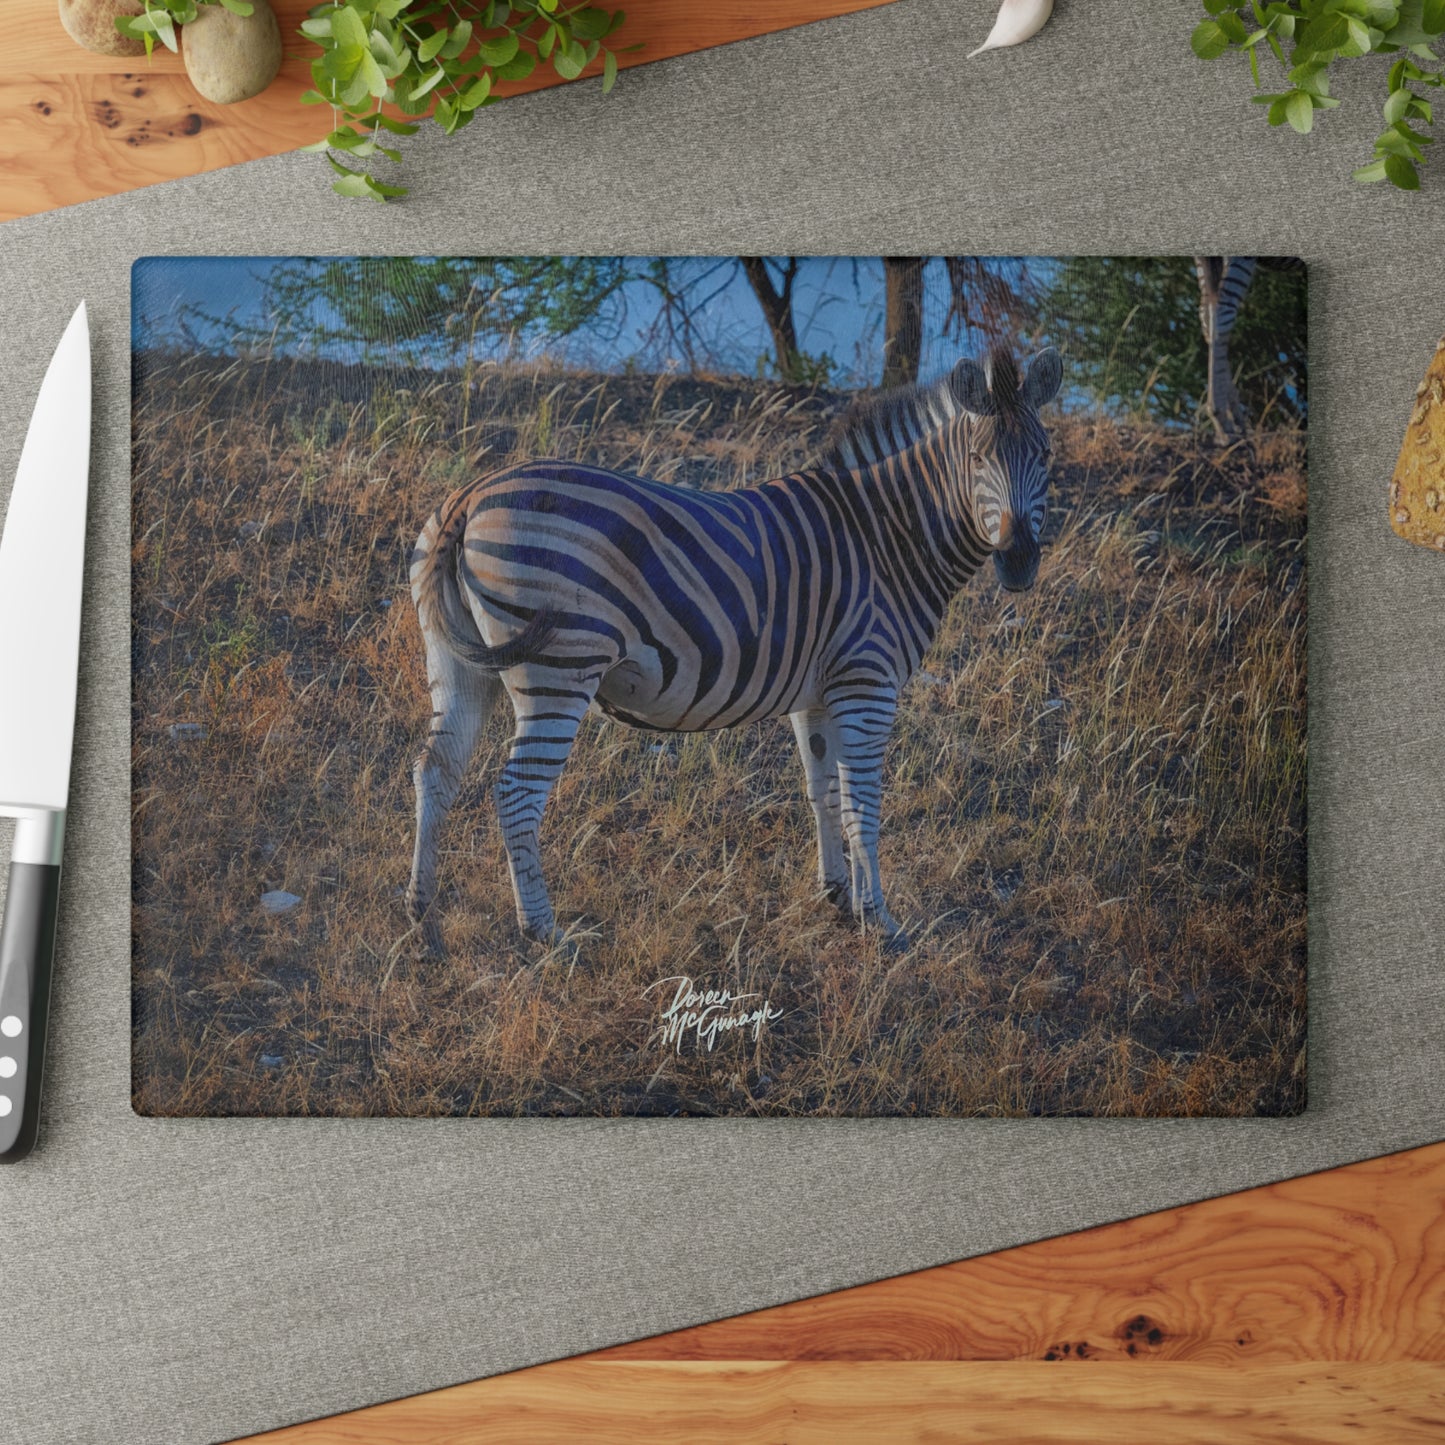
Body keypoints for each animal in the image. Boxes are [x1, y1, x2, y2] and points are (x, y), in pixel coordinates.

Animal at [404, 344, 1064, 958]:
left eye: (1045, 456)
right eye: (978, 459)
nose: (1018, 562)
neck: (887, 538)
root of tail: (470, 496)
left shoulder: (818, 694)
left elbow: (822, 791)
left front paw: (838, 896)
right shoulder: (867, 683)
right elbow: (863, 805)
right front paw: (881, 921)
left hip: (457, 664)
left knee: (436, 771)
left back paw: (423, 913)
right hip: (559, 669)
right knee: (516, 794)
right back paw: (544, 932)